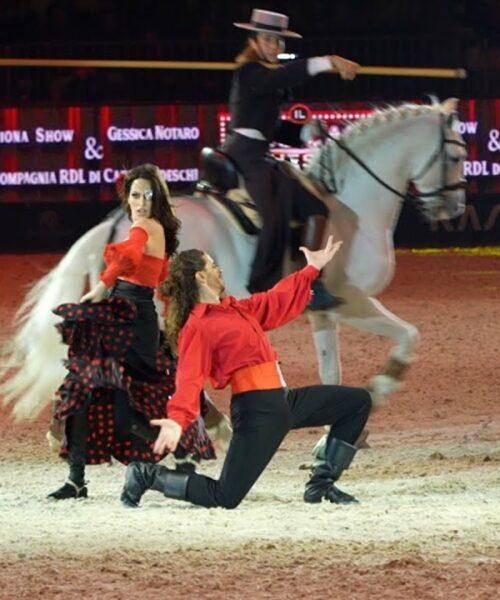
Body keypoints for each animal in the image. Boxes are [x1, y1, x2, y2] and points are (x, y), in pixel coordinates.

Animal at [1, 97, 466, 432]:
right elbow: (408, 335)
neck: (352, 203)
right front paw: (382, 385)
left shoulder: (324, 311)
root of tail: (120, 222)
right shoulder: (352, 300)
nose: (456, 209)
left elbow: (330, 367)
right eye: (459, 155)